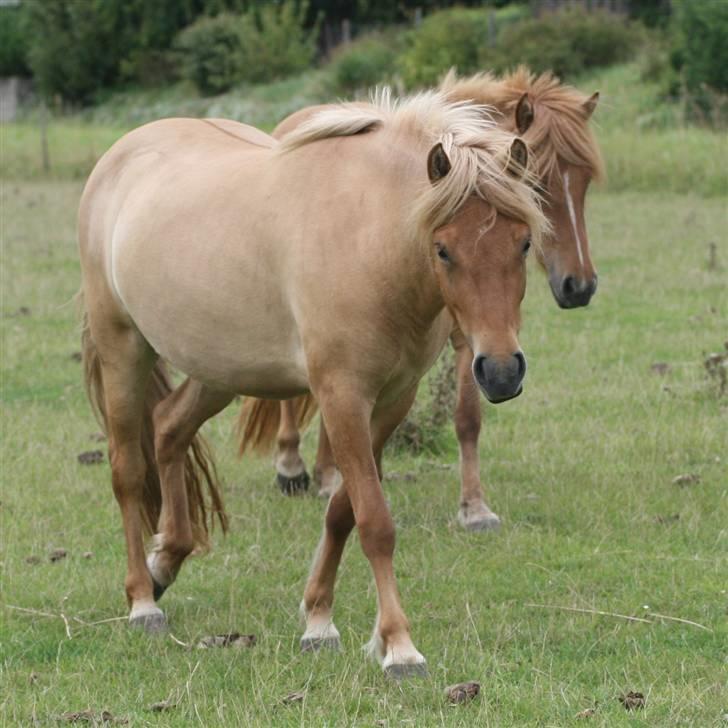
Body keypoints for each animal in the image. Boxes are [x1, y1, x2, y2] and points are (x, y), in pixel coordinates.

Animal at [78, 91, 544, 676]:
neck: (367, 236)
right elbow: (375, 521)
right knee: (127, 471)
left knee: (167, 429)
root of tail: (119, 156)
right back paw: (143, 600)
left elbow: (343, 511)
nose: (500, 371)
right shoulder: (342, 396)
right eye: (443, 249)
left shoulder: (391, 400)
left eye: (523, 243)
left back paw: (166, 561)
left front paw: (318, 619)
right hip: (123, 349)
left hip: (220, 370)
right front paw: (399, 646)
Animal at [239, 69, 604, 528]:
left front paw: (474, 508)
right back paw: (292, 469)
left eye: (586, 181)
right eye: (537, 184)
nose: (580, 286)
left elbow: (468, 417)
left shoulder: (477, 340)